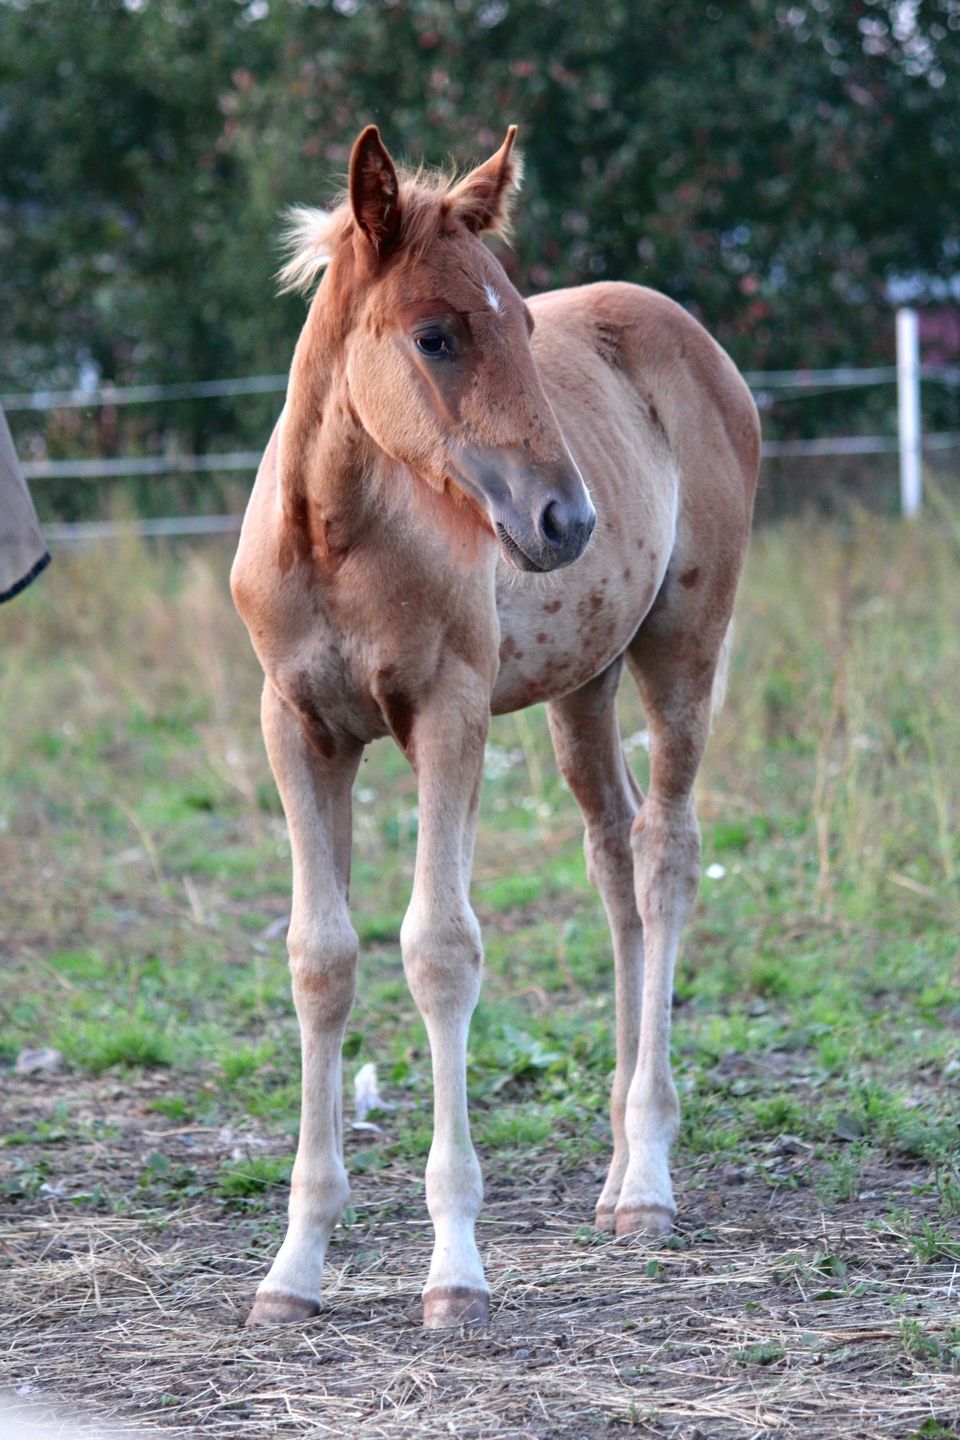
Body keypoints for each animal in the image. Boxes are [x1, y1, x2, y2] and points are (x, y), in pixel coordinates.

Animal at [233, 123, 759, 1324]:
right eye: (435, 335)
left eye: (522, 323)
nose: (565, 519)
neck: (335, 534)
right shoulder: (299, 727)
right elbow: (320, 958)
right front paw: (294, 1269)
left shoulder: (450, 712)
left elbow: (440, 949)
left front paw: (455, 1272)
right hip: (583, 680)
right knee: (614, 855)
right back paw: (615, 1172)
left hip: (681, 649)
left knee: (667, 852)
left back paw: (649, 1180)